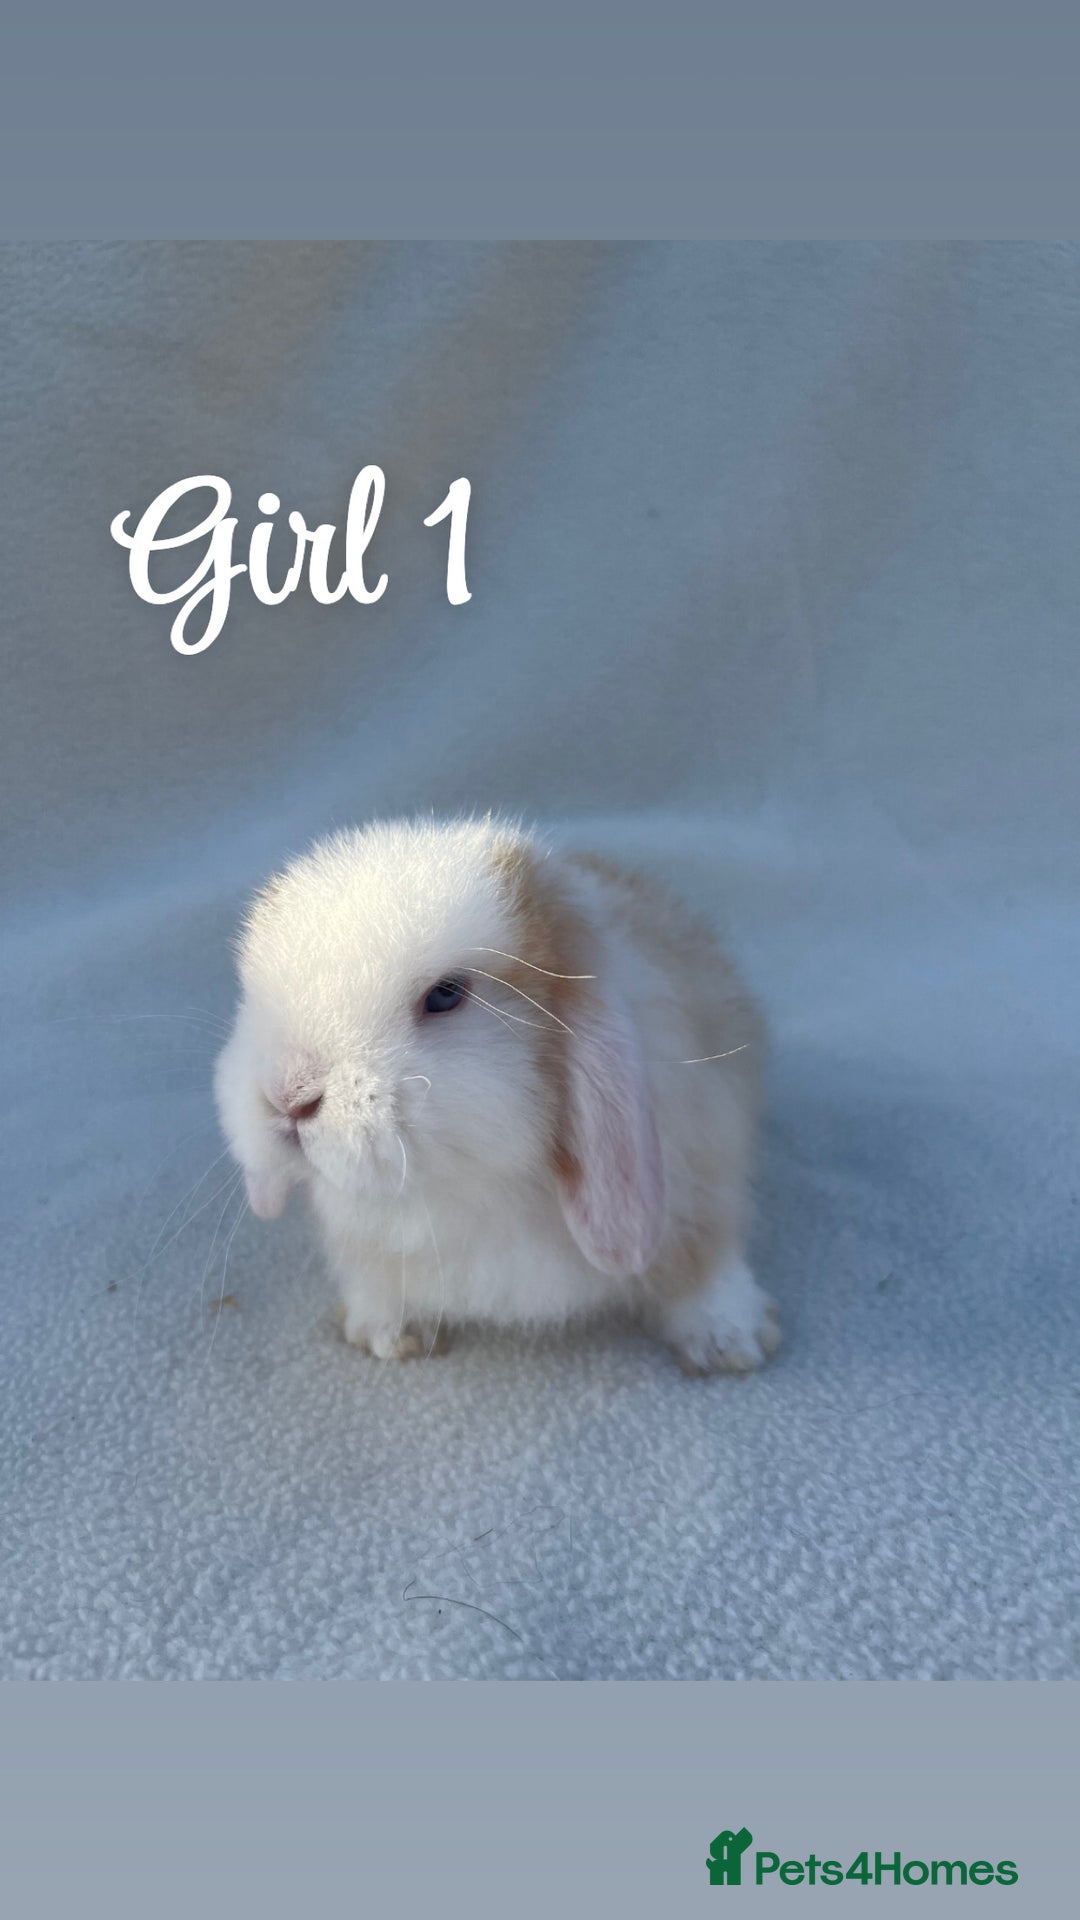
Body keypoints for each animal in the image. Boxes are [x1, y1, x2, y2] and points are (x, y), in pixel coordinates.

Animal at [214, 815, 780, 1376]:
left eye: (446, 995)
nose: (287, 1097)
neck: (472, 1187)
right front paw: (387, 1333)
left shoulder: (699, 1179)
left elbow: (701, 1266)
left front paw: (731, 1339)